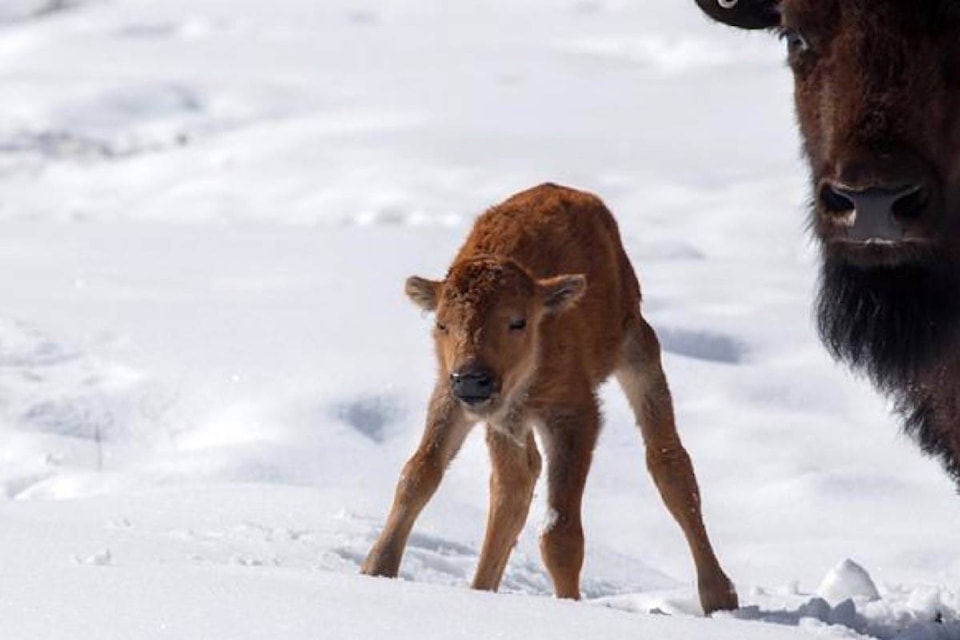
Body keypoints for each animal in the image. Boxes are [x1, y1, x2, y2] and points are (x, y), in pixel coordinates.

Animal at [360, 184, 736, 616]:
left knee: (669, 463)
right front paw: (374, 570)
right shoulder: (453, 401)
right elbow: (418, 475)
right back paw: (481, 588)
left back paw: (720, 597)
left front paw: (568, 603)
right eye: (442, 323)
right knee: (514, 485)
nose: (473, 380)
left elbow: (560, 533)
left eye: (517, 321)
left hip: (637, 349)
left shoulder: (573, 416)